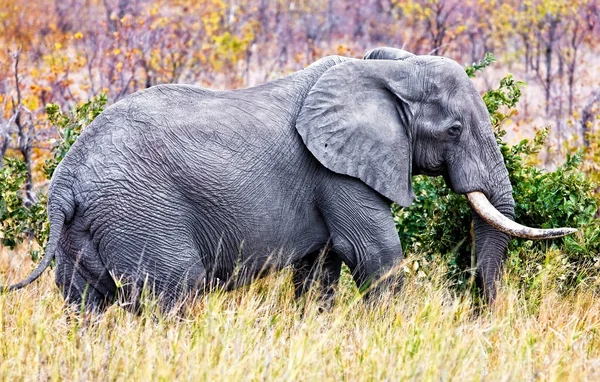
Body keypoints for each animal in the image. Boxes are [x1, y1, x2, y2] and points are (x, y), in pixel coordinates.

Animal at [1, 46, 576, 312]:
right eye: (455, 129)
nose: (483, 315)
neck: (384, 70)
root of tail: (64, 182)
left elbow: (319, 268)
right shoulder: (338, 173)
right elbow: (375, 254)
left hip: (89, 228)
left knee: (85, 306)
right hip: (141, 214)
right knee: (176, 294)